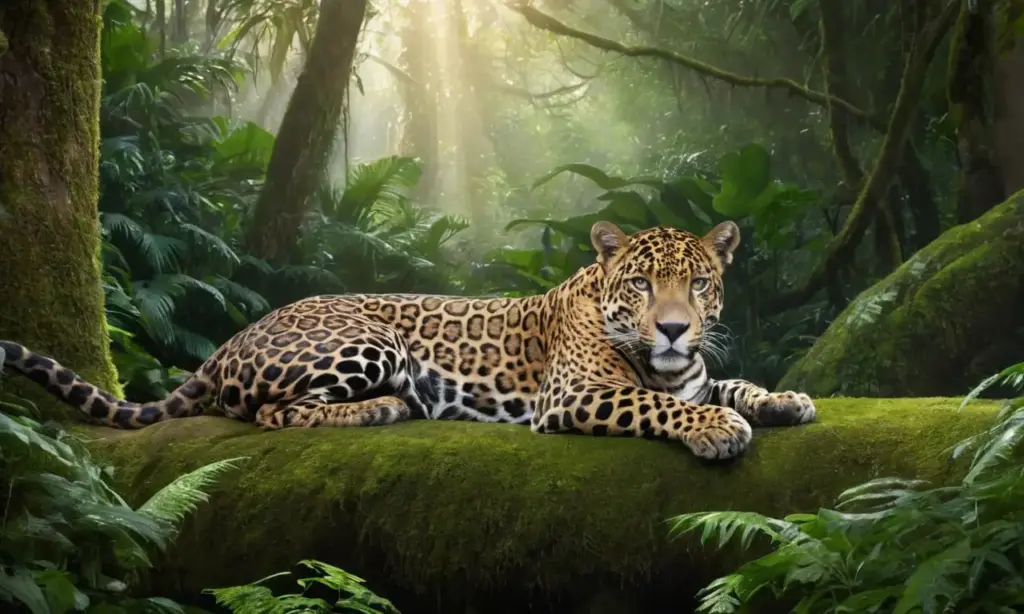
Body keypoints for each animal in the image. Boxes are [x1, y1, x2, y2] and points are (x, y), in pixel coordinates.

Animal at [0, 221, 816, 460]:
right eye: (642, 285)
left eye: (699, 284)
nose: (675, 327)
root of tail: (227, 342)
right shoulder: (575, 394)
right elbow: (661, 406)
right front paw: (716, 429)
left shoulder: (693, 371)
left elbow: (726, 384)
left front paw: (786, 399)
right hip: (367, 339)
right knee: (275, 413)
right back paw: (387, 408)